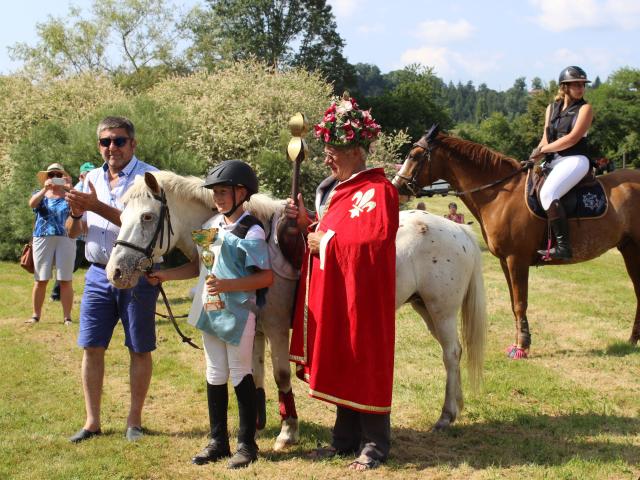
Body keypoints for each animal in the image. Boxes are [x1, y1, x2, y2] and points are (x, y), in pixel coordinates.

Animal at [392, 125, 640, 358]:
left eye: (414, 155)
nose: (397, 186)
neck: (501, 195)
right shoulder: (505, 261)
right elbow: (514, 303)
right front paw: (520, 342)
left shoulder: (516, 260)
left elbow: (521, 302)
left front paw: (522, 347)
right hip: (629, 249)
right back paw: (632, 340)